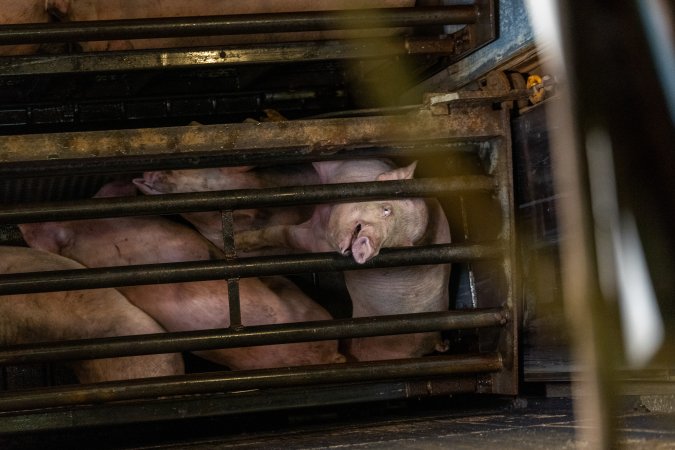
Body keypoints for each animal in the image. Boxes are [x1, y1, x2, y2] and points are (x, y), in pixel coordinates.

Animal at [235, 160, 452, 360]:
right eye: (386, 209)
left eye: (391, 244)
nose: (370, 246)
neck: (324, 214)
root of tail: (435, 341)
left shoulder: (315, 243)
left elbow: (281, 234)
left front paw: (239, 241)